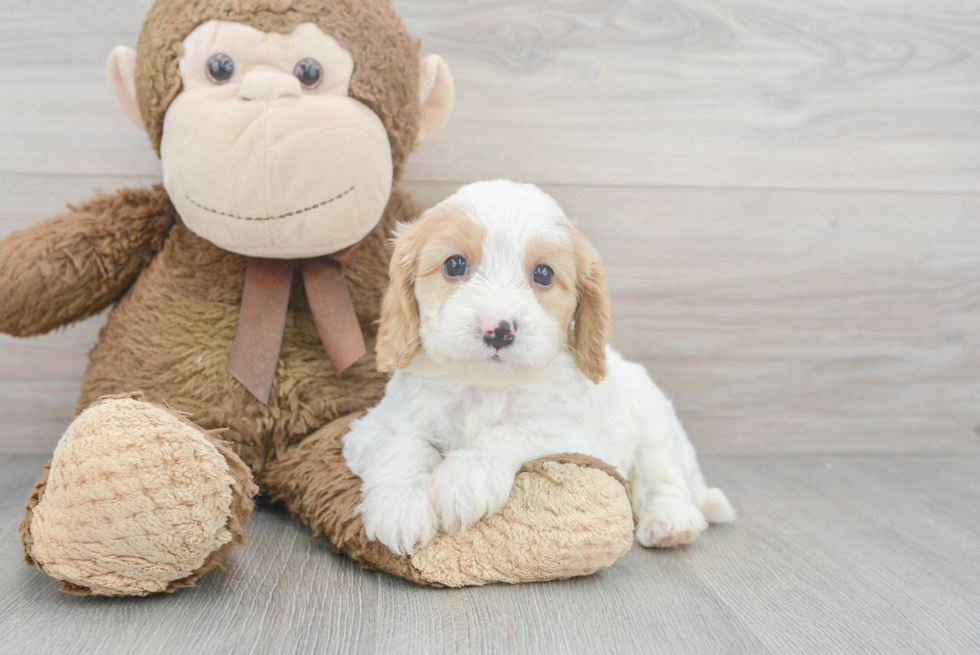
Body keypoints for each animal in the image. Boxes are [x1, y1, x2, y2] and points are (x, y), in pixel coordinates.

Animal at [344, 181, 736, 560]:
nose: (498, 329)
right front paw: (401, 505)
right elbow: (402, 442)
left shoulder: (578, 438)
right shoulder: (372, 427)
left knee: (665, 481)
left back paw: (670, 522)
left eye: (544, 274)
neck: (483, 387)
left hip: (655, 427)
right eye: (454, 265)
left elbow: (511, 430)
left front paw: (467, 476)